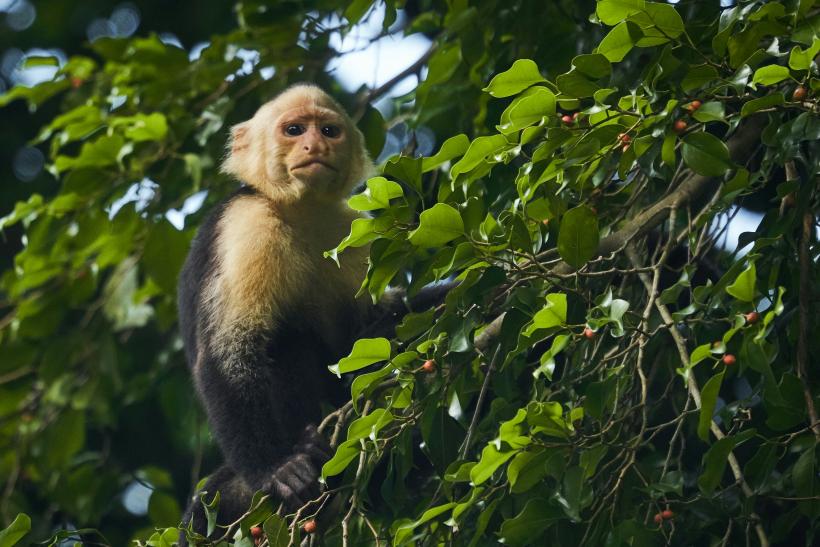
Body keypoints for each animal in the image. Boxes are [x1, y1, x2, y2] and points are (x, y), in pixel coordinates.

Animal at [178, 83, 380, 540]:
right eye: (294, 130)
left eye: (329, 130)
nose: (315, 144)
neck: (300, 212)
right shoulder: (247, 225)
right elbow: (227, 351)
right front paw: (274, 469)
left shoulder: (351, 231)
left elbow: (363, 338)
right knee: (288, 341)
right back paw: (304, 446)